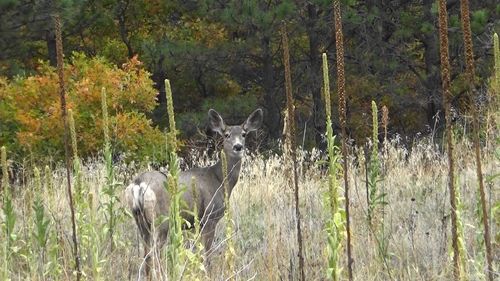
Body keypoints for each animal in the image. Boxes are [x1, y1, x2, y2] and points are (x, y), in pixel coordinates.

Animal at [125, 107, 264, 276]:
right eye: (227, 135)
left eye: (243, 134)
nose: (238, 147)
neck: (220, 181)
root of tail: (139, 183)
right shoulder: (210, 216)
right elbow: (207, 254)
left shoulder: (196, 223)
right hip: (161, 219)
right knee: (154, 253)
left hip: (140, 221)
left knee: (146, 255)